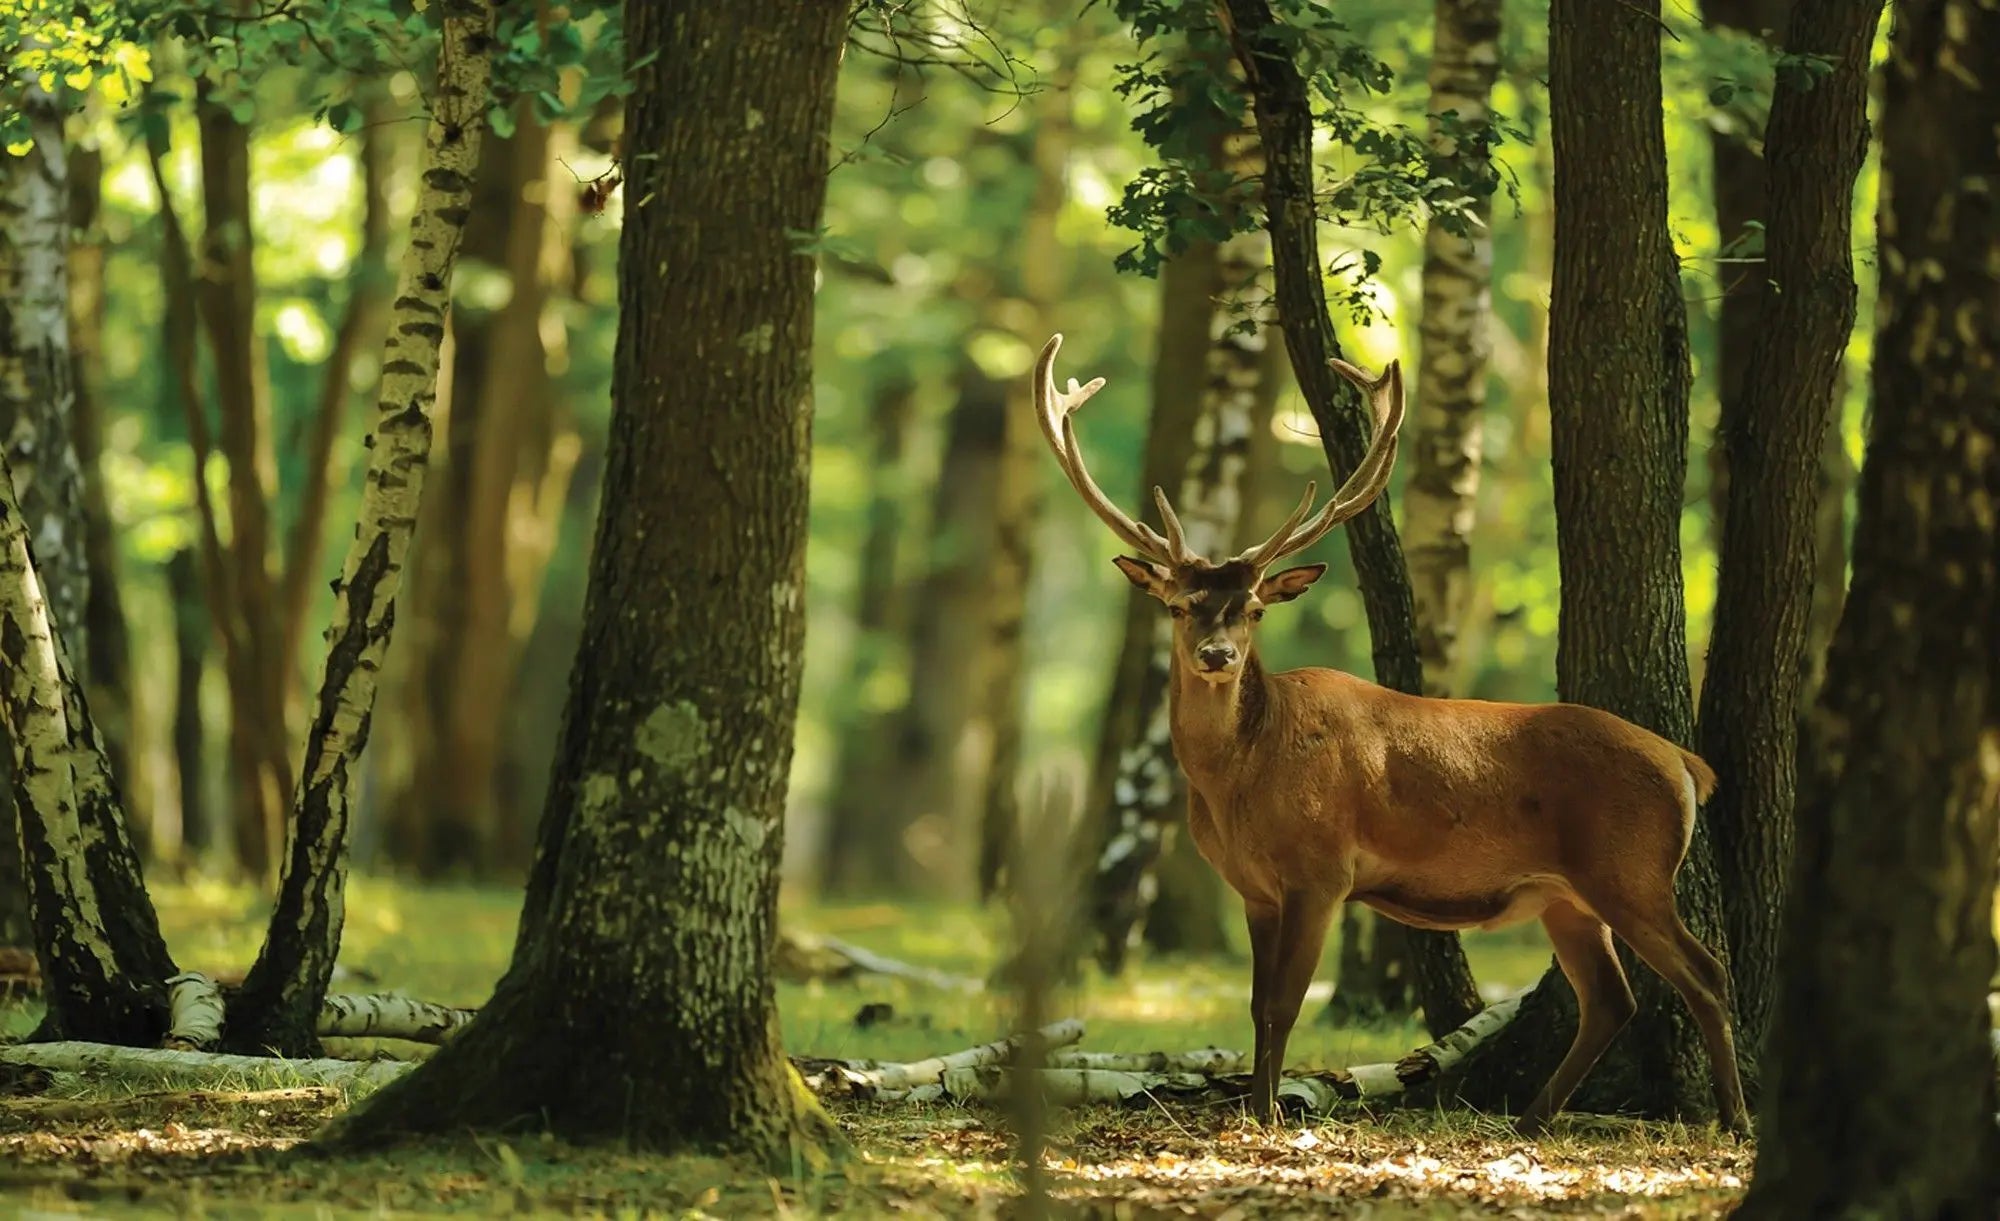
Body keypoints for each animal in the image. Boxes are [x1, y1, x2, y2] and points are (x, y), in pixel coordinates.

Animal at [1040, 330, 1744, 1128]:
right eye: (1180, 604)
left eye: (1254, 609)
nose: (1218, 656)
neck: (1241, 778)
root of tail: (1687, 763)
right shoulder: (1255, 889)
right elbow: (1255, 1007)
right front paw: (1256, 1107)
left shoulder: (1321, 870)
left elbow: (1282, 1006)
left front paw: (1269, 1116)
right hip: (1568, 894)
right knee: (1611, 997)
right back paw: (1533, 1117)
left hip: (1632, 869)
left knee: (1706, 972)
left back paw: (1733, 1118)